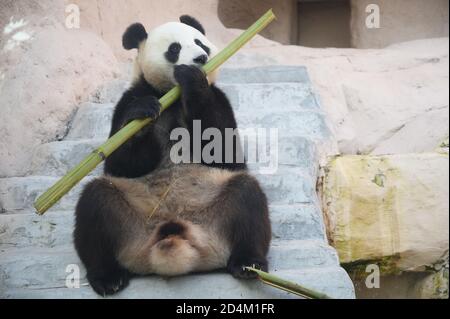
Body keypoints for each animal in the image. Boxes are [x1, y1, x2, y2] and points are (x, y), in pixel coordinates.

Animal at [104, 15, 246, 180]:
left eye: (199, 43)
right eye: (175, 48)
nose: (201, 58)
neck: (172, 96)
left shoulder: (219, 98)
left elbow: (225, 151)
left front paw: (191, 78)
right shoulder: (131, 98)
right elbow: (122, 165)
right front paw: (143, 111)